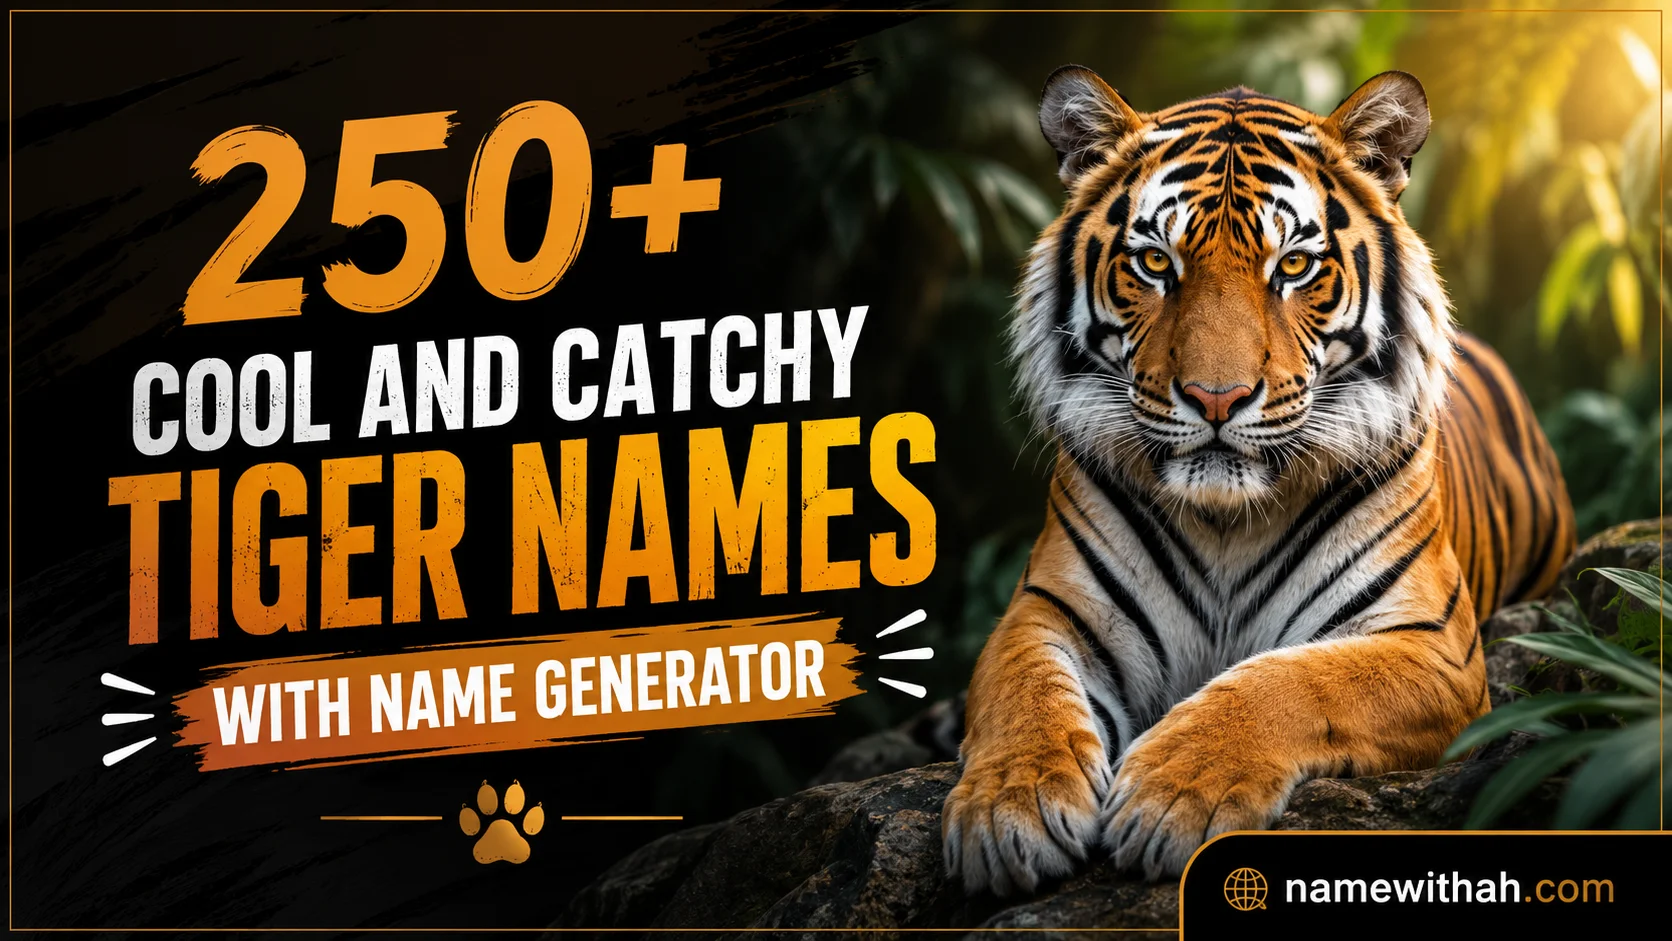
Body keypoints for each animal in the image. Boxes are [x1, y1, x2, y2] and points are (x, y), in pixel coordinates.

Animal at [941, 67, 1575, 894]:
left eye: (1294, 267)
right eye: (1156, 264)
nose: (1217, 397)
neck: (1226, 520)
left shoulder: (1433, 645)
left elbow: (1293, 682)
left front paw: (1173, 792)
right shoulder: (1045, 609)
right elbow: (1024, 690)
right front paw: (1007, 807)